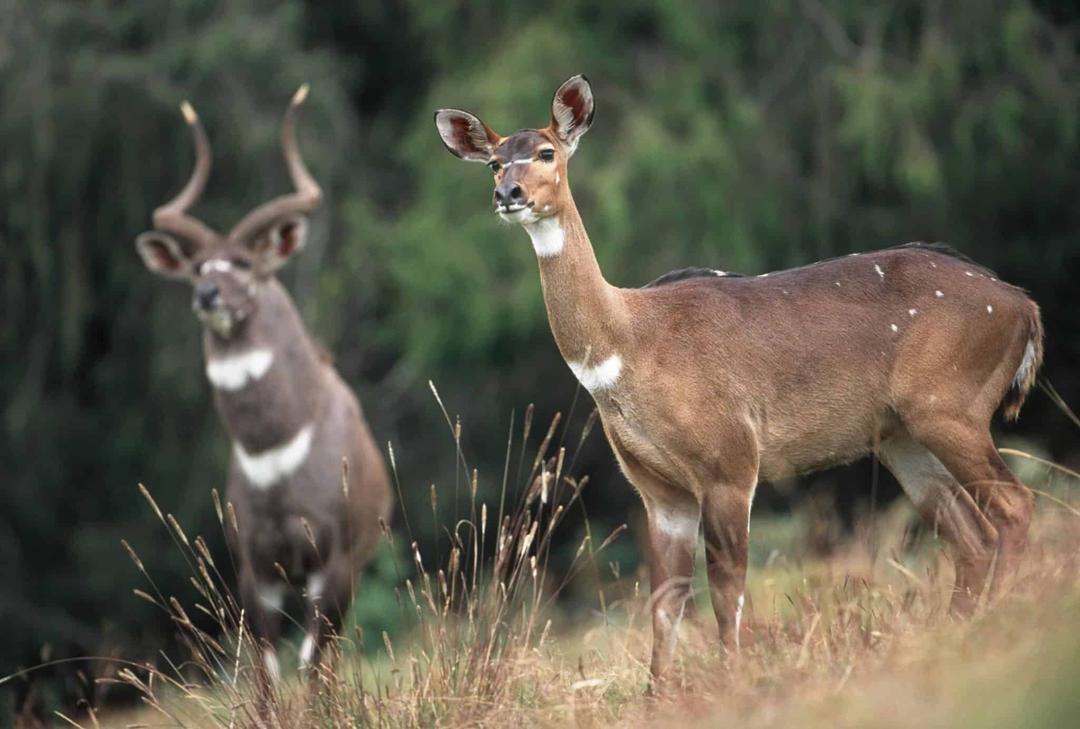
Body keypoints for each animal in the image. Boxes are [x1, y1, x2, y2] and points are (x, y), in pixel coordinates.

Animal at [136, 88, 393, 682]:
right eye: (198, 268)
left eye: (246, 265)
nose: (207, 295)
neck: (276, 448)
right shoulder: (257, 568)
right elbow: (265, 671)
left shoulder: (334, 561)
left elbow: (312, 665)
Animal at [434, 77, 1041, 686]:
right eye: (493, 162)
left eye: (546, 152)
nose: (508, 193)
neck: (627, 351)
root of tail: (1024, 307)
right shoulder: (659, 489)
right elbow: (665, 601)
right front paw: (660, 693)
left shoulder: (729, 460)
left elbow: (728, 591)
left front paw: (733, 681)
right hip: (902, 437)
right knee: (970, 537)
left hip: (948, 405)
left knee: (1015, 505)